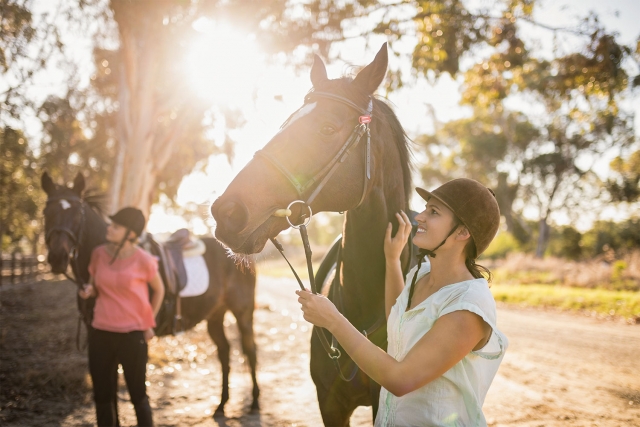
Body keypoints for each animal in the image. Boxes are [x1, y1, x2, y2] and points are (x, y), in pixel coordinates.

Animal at [41, 171, 260, 416]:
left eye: (77, 214)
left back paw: (253, 402)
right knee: (224, 351)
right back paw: (222, 404)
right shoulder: (99, 335)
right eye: (46, 213)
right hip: (215, 315)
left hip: (243, 313)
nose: (57, 258)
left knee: (250, 350)